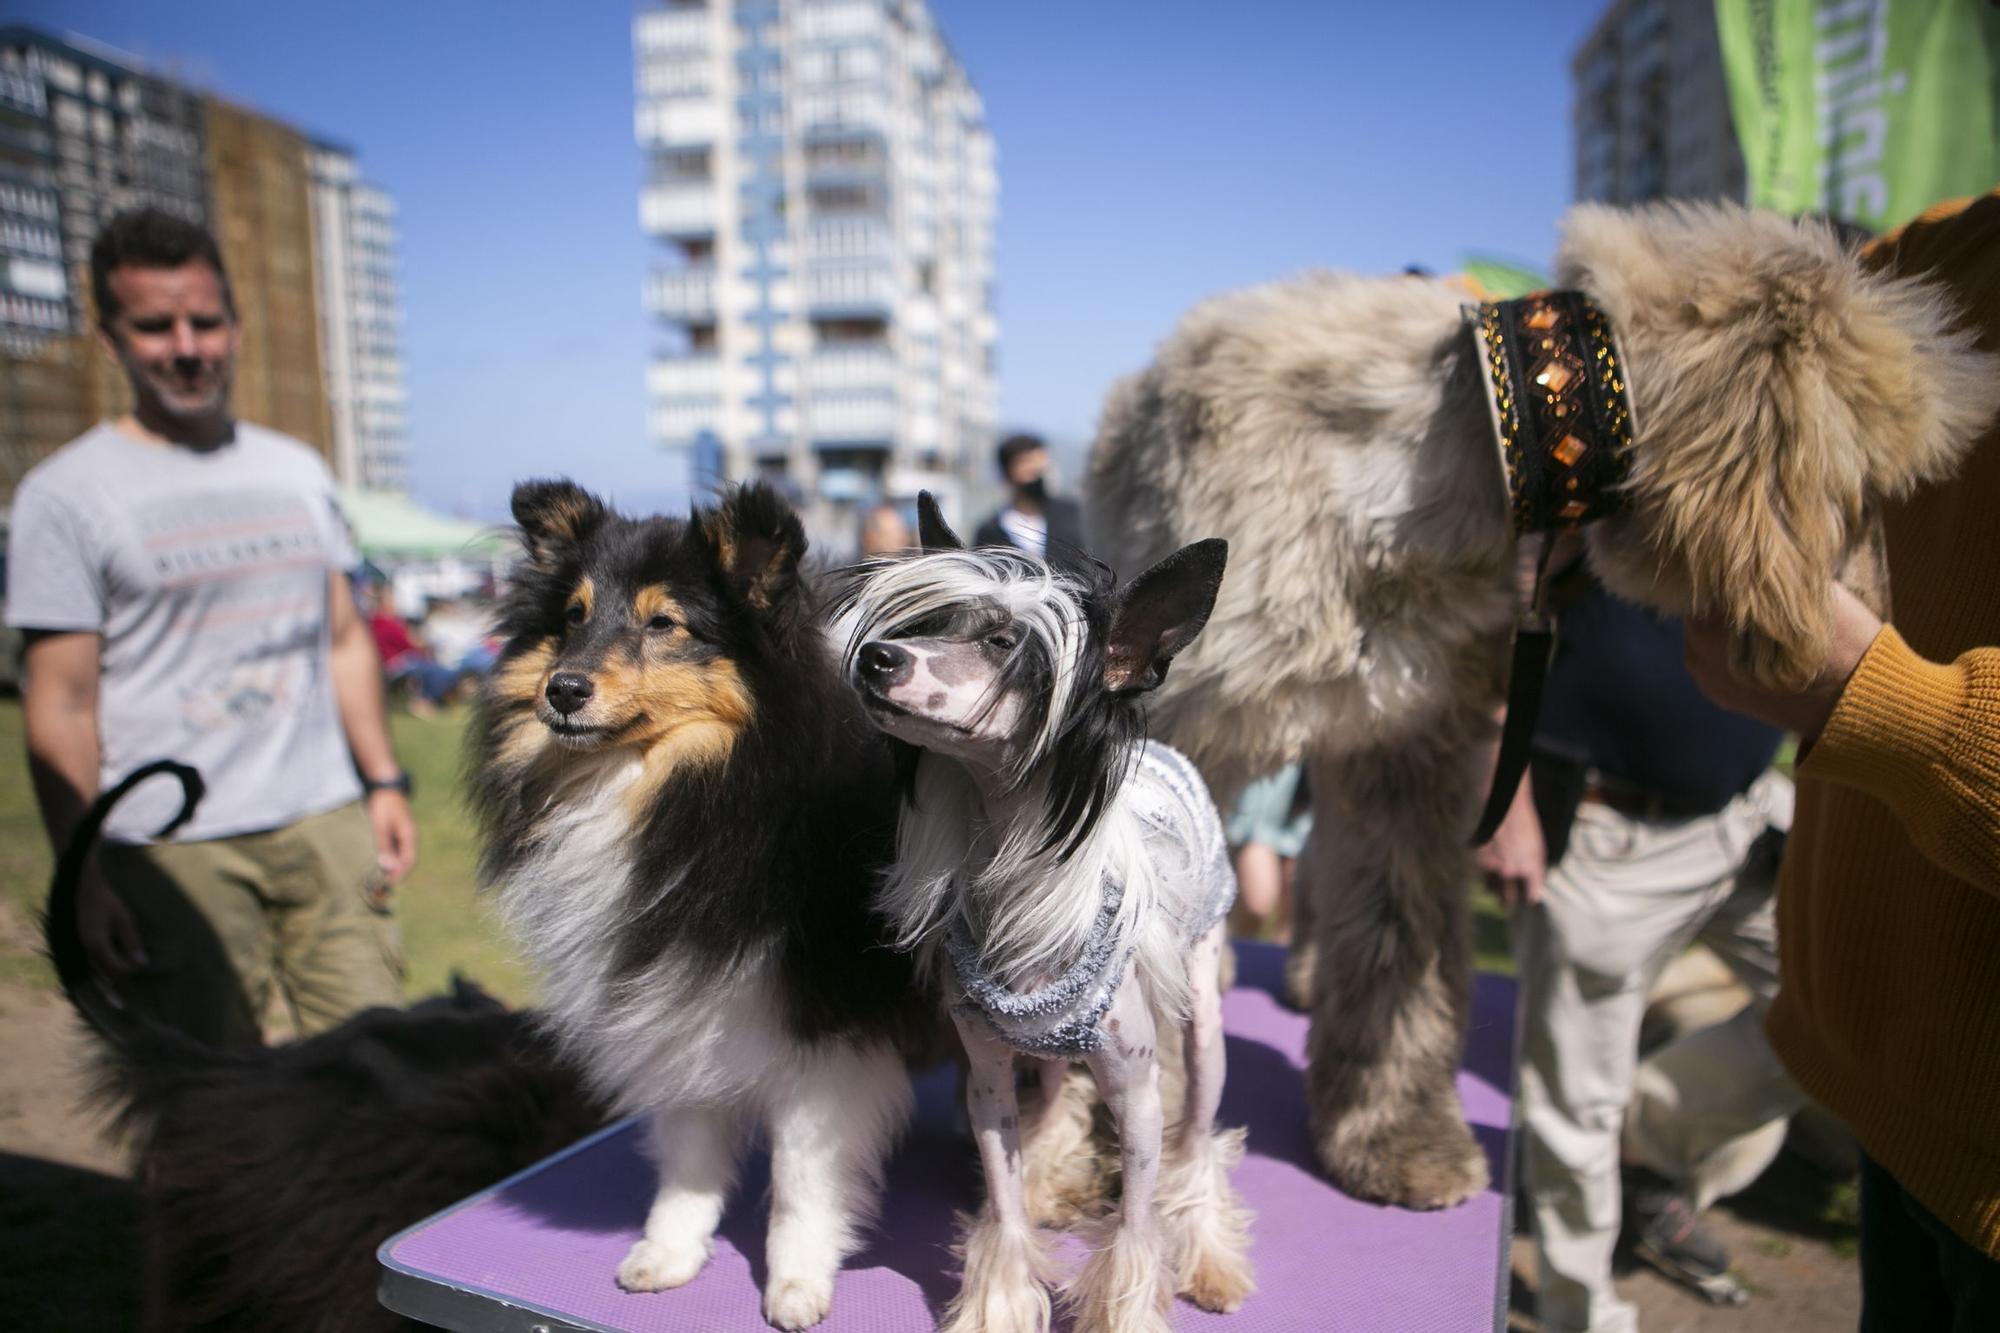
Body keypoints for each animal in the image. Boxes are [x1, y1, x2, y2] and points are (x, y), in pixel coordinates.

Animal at [470, 482, 936, 1320]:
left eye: (664, 623)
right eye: (573, 616)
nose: (563, 689)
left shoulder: (823, 1036)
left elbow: (801, 1179)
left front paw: (796, 1282)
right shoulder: (682, 1005)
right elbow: (688, 1154)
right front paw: (668, 1251)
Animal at [840, 498, 1248, 1328]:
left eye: (1002, 644)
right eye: (935, 622)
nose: (875, 657)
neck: (1017, 861)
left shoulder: (1137, 1093)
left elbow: (1136, 1227)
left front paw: (1128, 1307)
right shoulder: (988, 1079)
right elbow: (1004, 1209)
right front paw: (998, 1299)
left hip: (1202, 1012)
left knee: (1197, 1141)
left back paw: (1206, 1248)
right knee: (1057, 1093)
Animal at [1088, 202, 2000, 1208]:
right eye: (1870, 490)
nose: (1875, 625)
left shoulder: (1410, 752)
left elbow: (1399, 941)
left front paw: (1396, 1133)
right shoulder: (1188, 731)